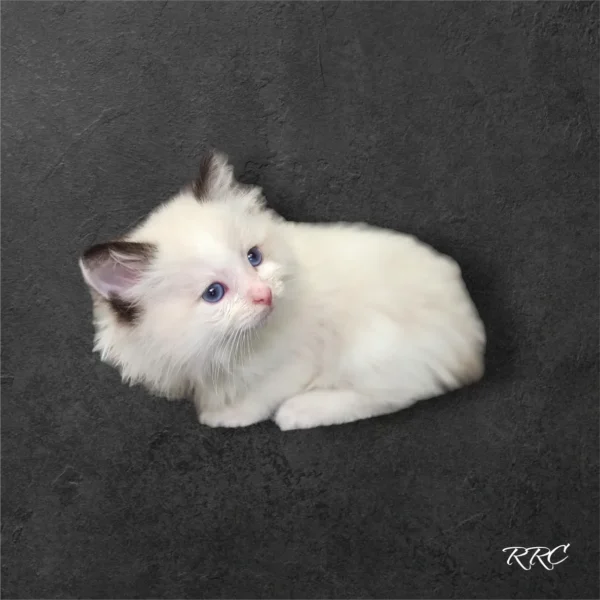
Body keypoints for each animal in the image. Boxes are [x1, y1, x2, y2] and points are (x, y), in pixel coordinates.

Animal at [79, 152, 486, 428]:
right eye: (214, 293)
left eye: (253, 257)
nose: (265, 294)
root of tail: (473, 338)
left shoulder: (296, 359)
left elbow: (262, 394)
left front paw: (225, 414)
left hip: (374, 345)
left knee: (395, 393)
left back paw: (302, 411)